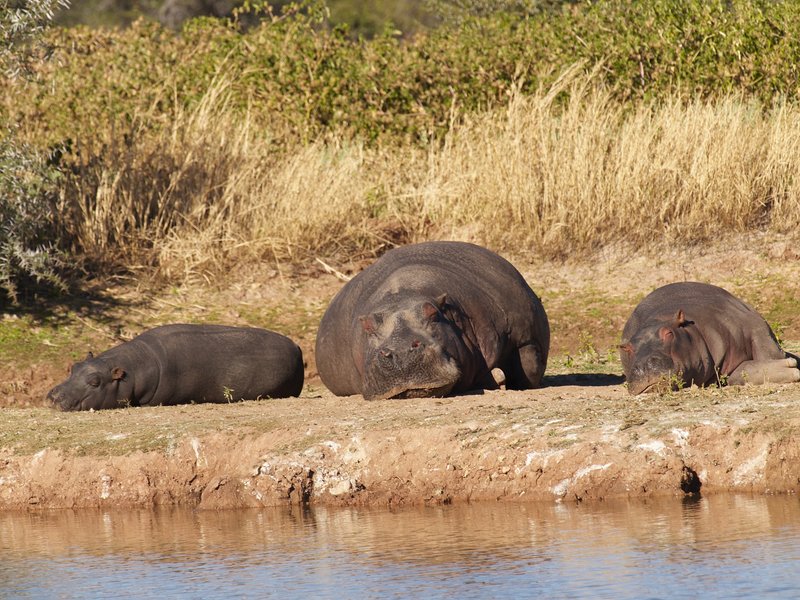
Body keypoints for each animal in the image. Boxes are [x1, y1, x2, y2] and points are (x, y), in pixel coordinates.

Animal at [315, 241, 550, 400]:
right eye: (367, 325)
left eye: (433, 314)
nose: (400, 353)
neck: (404, 293)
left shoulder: (525, 337)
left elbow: (527, 369)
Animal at [620, 282, 799, 394]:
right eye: (626, 348)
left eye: (668, 333)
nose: (643, 366)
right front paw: (789, 367)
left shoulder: (749, 322)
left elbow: (765, 348)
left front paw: (789, 365)